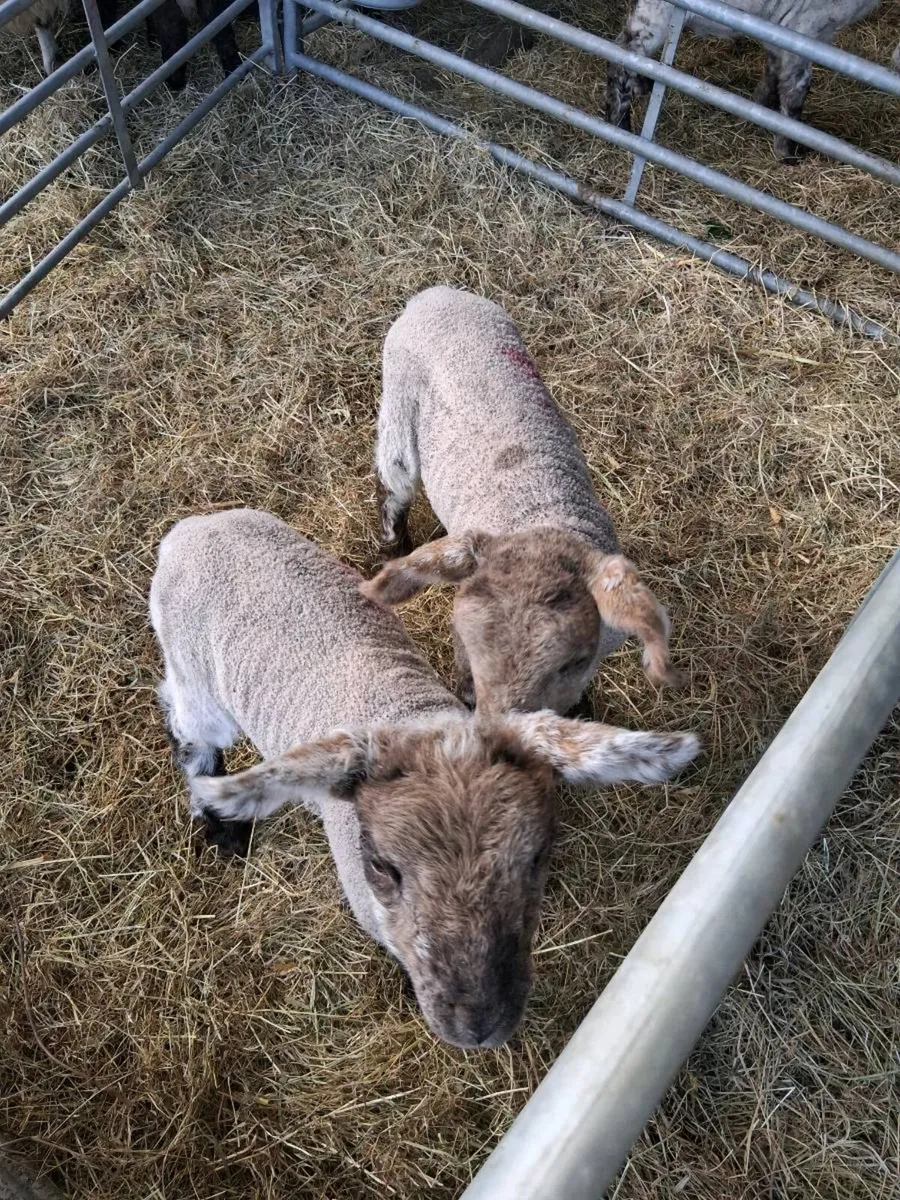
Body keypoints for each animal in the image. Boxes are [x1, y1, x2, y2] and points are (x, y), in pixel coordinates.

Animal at [150, 507, 700, 1049]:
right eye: (381, 866)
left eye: (537, 856)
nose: (477, 1029)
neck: (413, 712)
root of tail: (193, 526)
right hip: (192, 669)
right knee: (184, 719)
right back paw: (220, 824)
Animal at [361, 285, 684, 719]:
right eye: (470, 644)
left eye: (572, 662)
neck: (545, 514)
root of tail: (435, 294)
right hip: (397, 396)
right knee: (393, 481)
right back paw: (394, 544)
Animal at [605, 0, 882, 162]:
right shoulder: (804, 30)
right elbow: (796, 91)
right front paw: (788, 154)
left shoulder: (780, 32)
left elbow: (772, 73)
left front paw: (758, 111)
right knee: (624, 54)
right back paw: (620, 124)